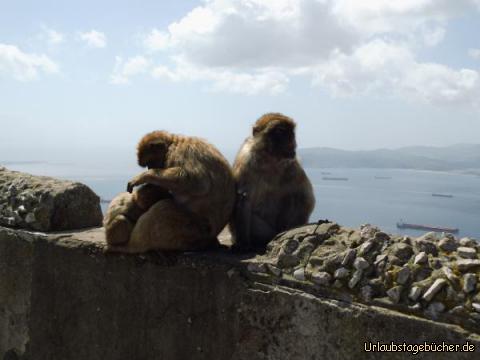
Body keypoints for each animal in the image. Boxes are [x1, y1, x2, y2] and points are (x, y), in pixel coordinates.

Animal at [104, 130, 235, 253]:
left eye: (149, 163)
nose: (149, 168)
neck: (174, 142)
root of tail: (208, 238)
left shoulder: (179, 153)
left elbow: (198, 182)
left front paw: (144, 176)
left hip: (193, 231)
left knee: (162, 208)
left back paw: (129, 247)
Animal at [229, 112, 316, 250]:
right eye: (279, 132)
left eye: (290, 132)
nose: (290, 140)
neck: (270, 159)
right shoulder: (246, 161)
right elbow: (243, 198)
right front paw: (243, 244)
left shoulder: (293, 165)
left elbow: (305, 196)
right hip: (264, 230)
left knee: (295, 196)